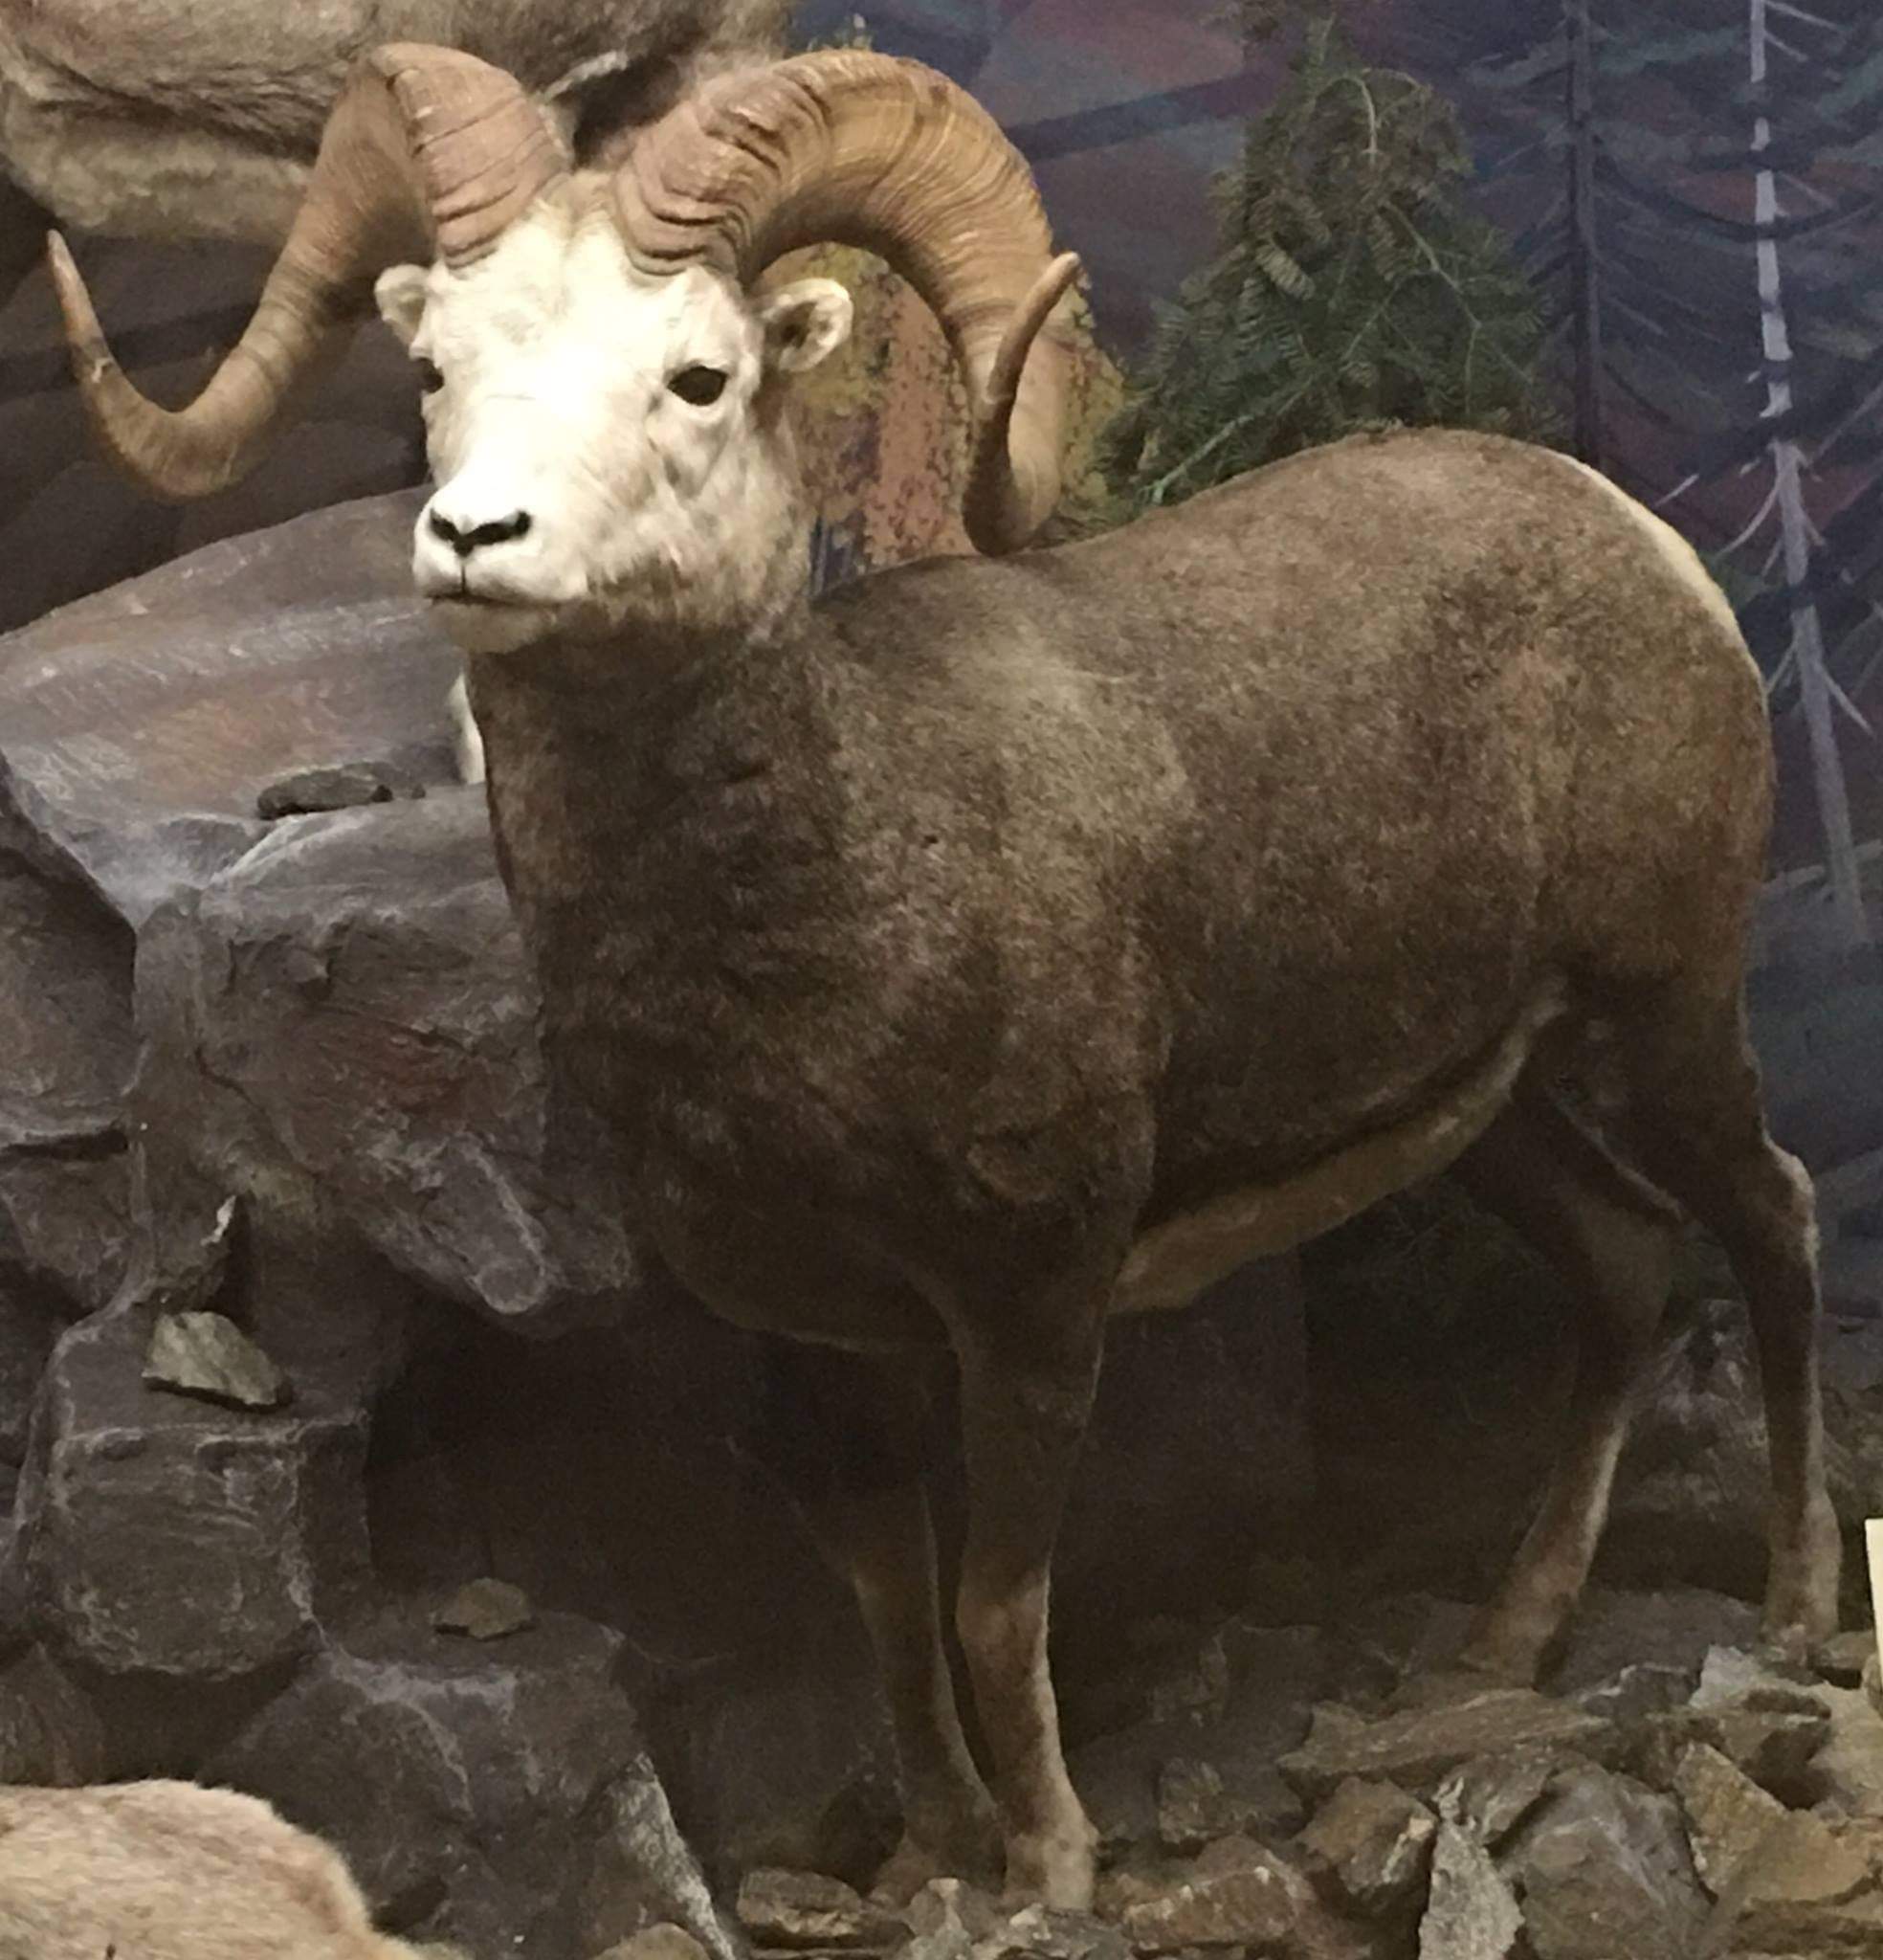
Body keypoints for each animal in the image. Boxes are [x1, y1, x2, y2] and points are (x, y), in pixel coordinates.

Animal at [49, 43, 1844, 1912]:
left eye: (698, 375)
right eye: (435, 366)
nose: (478, 537)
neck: (834, 900)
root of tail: (1642, 548)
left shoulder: (1035, 1305)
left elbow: (992, 1605)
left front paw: (1050, 1863)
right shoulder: (833, 1344)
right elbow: (895, 1612)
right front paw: (930, 1849)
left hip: (1663, 1019)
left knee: (1771, 1217)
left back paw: (1797, 1615)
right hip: (1497, 1105)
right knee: (1626, 1268)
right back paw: (1506, 1642)